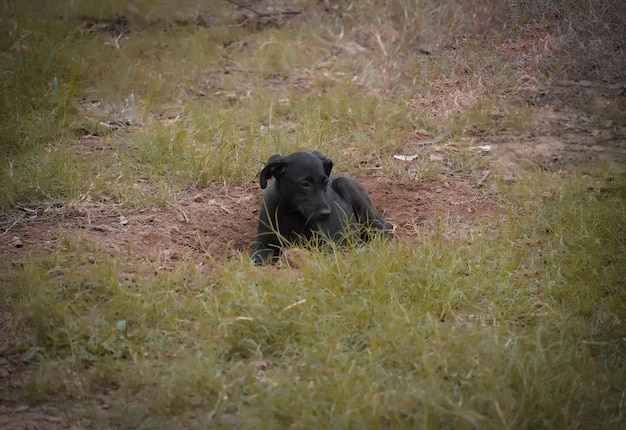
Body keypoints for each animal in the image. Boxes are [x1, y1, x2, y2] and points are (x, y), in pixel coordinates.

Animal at [250, 151, 390, 266]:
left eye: (325, 183)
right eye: (305, 184)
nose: (327, 213)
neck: (291, 214)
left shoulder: (325, 245)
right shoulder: (264, 245)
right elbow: (257, 260)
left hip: (352, 193)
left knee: (384, 228)